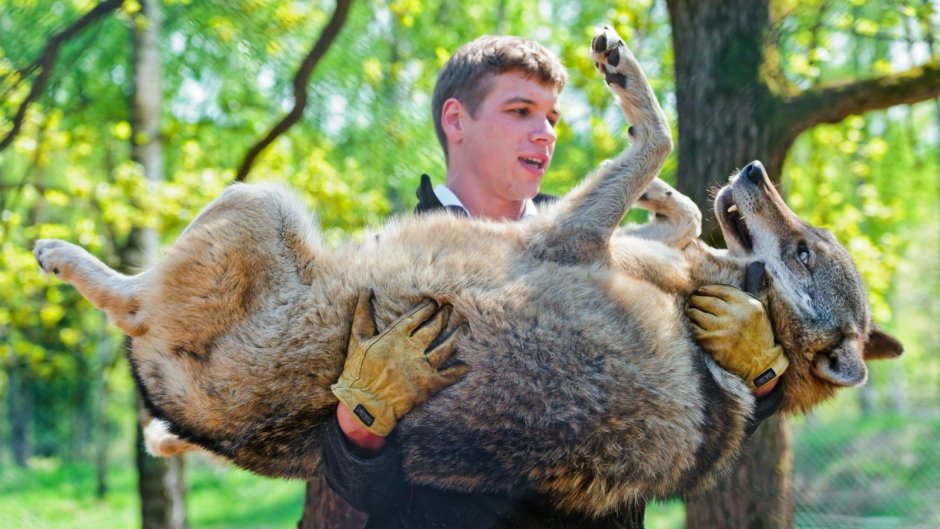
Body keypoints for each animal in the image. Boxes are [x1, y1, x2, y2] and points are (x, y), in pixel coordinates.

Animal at [32, 27, 900, 515]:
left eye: (804, 252)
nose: (752, 168)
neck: (711, 315)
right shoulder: (603, 232)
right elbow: (674, 198)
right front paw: (665, 190)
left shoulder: (562, 233)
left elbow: (655, 136)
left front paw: (632, 97)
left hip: (258, 202)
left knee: (131, 304)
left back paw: (62, 257)